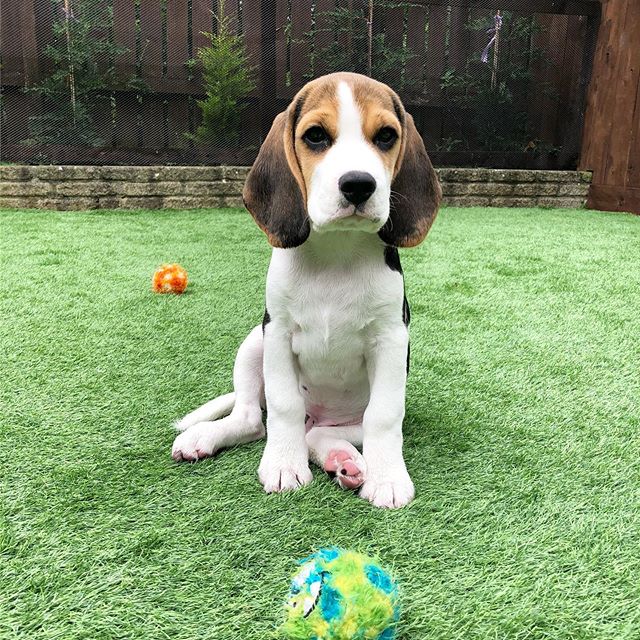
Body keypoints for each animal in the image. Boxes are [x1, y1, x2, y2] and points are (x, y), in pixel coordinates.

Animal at [171, 71, 440, 510]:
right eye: (315, 136)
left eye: (386, 136)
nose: (358, 185)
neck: (336, 253)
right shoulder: (278, 333)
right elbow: (284, 406)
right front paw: (283, 464)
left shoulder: (391, 339)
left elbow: (384, 415)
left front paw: (387, 478)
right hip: (254, 342)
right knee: (253, 420)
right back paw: (206, 435)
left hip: (348, 421)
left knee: (319, 433)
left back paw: (345, 461)